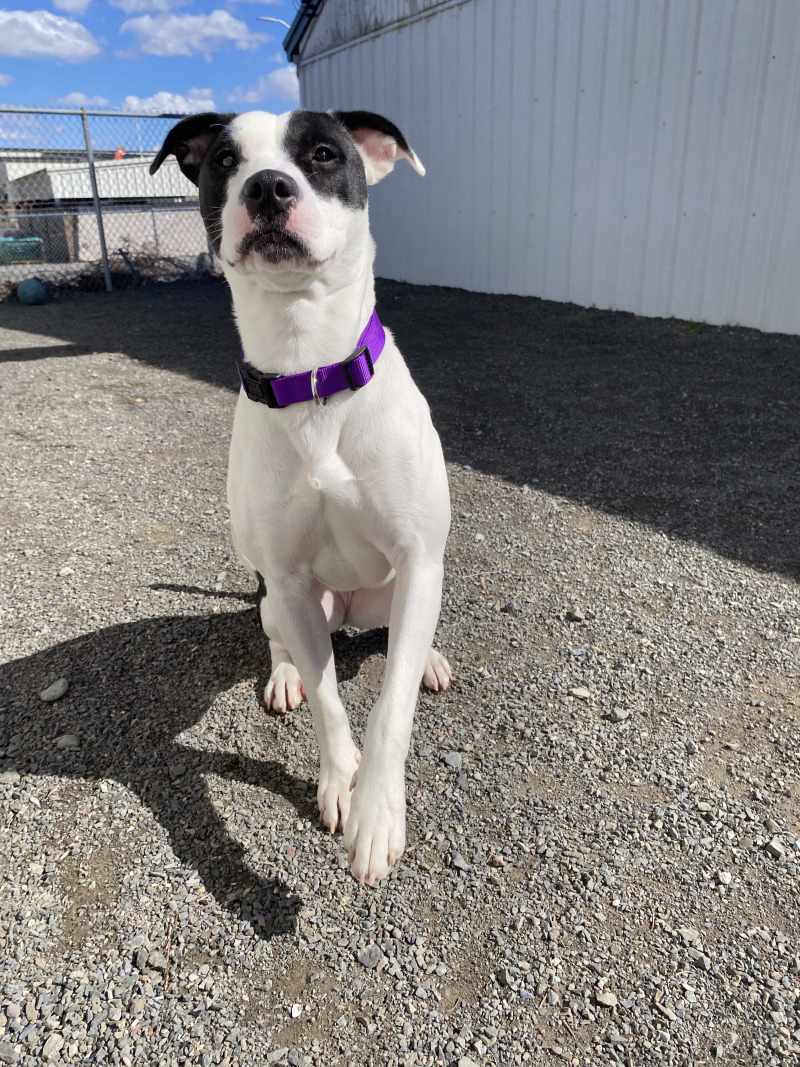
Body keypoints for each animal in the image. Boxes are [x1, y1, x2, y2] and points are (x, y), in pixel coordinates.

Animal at [150, 108, 452, 883]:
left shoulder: (419, 557)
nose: (267, 187)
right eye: (225, 160)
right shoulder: (285, 577)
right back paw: (284, 676)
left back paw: (428, 658)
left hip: (395, 591)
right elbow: (328, 700)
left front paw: (377, 813)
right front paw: (341, 779)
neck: (310, 370)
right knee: (282, 641)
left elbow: (389, 706)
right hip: (285, 601)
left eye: (322, 154)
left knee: (398, 635)